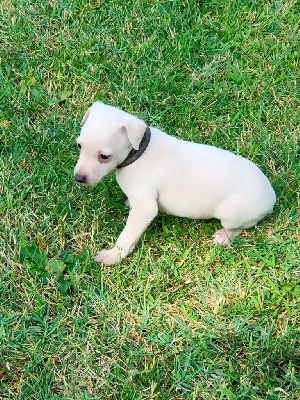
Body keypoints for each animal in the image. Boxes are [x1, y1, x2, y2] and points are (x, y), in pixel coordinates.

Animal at [74, 102, 276, 266]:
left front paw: (112, 256)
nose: (78, 178)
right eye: (79, 146)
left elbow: (127, 235)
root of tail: (272, 196)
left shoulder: (145, 209)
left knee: (244, 225)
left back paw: (224, 235)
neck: (139, 150)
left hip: (232, 214)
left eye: (104, 156)